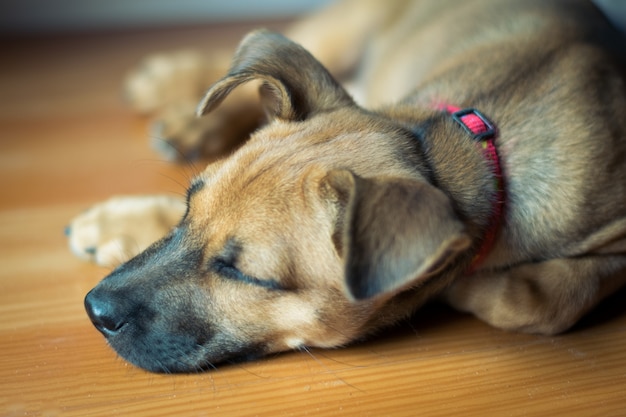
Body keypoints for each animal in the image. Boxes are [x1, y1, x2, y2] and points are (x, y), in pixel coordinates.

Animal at [64, 0, 624, 370]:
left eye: (246, 275)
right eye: (188, 208)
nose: (93, 310)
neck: (454, 146)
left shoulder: (613, 247)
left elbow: (546, 300)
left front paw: (469, 288)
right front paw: (120, 222)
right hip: (346, 26)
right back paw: (176, 93)